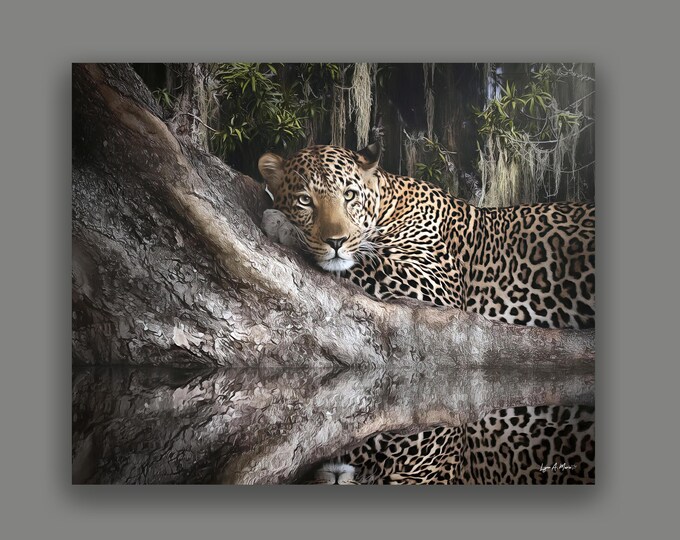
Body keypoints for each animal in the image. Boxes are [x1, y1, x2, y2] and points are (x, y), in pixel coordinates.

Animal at [259, 143, 594, 329]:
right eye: (305, 201)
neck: (389, 204)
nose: (336, 242)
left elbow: (367, 260)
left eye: (349, 195)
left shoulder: (438, 283)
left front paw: (281, 224)